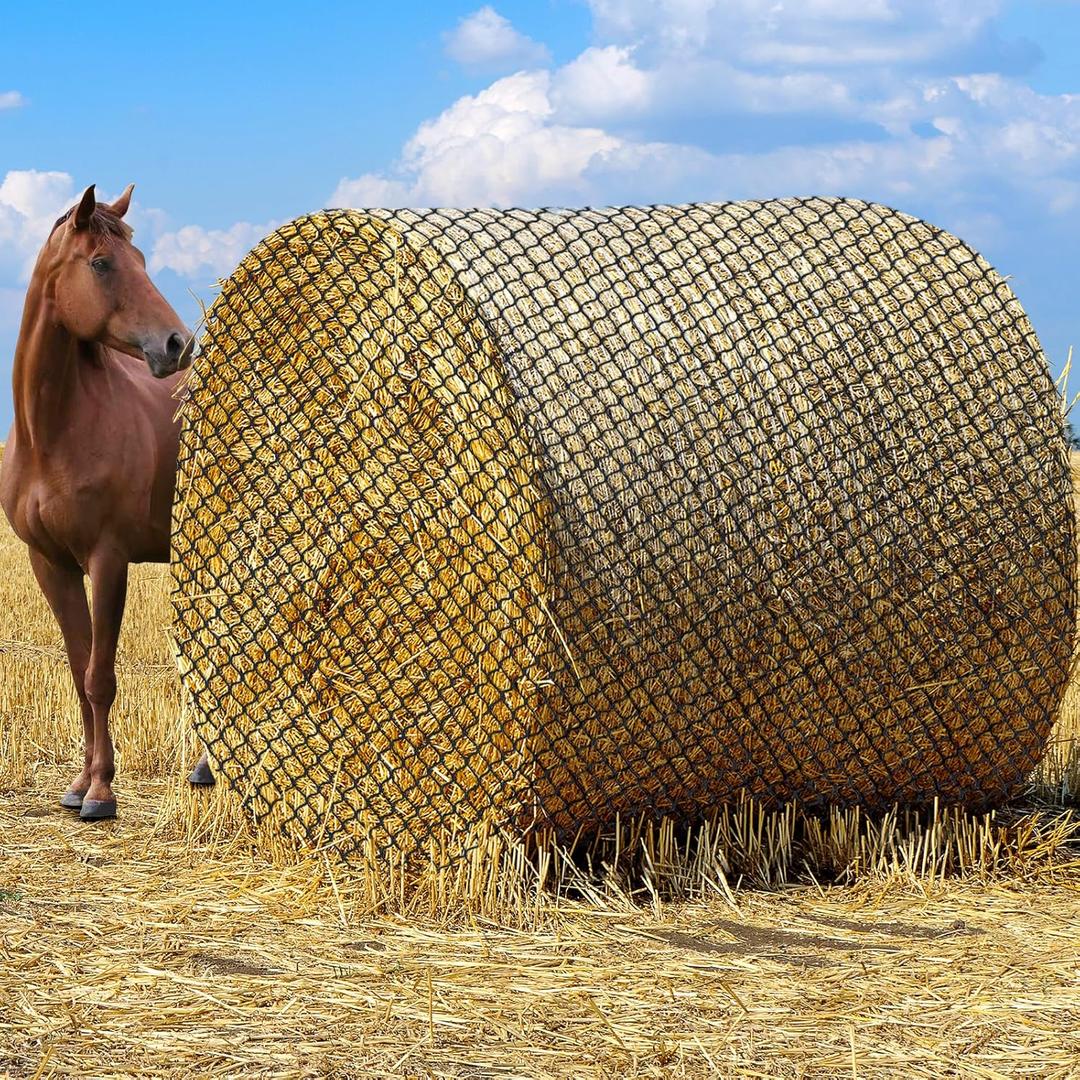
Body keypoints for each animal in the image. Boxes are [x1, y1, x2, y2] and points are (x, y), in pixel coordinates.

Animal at [0, 183, 214, 820]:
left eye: (141, 260)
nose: (176, 344)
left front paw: (100, 793)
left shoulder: (108, 560)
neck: (53, 433)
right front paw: (79, 784)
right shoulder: (50, 564)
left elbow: (100, 676)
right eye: (101, 263)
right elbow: (78, 670)